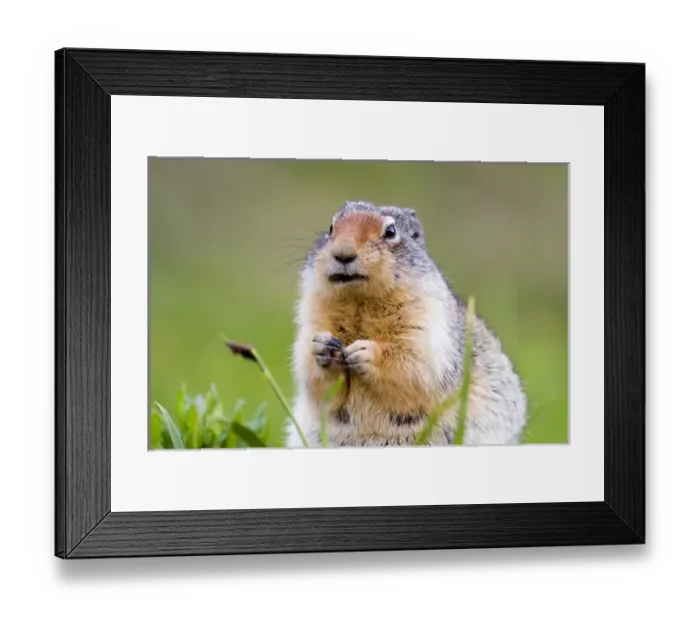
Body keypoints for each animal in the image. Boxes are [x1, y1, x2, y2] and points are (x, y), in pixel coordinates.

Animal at [284, 200, 527, 448]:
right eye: (331, 227)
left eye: (390, 231)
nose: (343, 253)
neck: (359, 302)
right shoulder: (312, 314)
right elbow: (313, 378)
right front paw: (322, 347)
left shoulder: (426, 320)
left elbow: (416, 363)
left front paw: (366, 353)